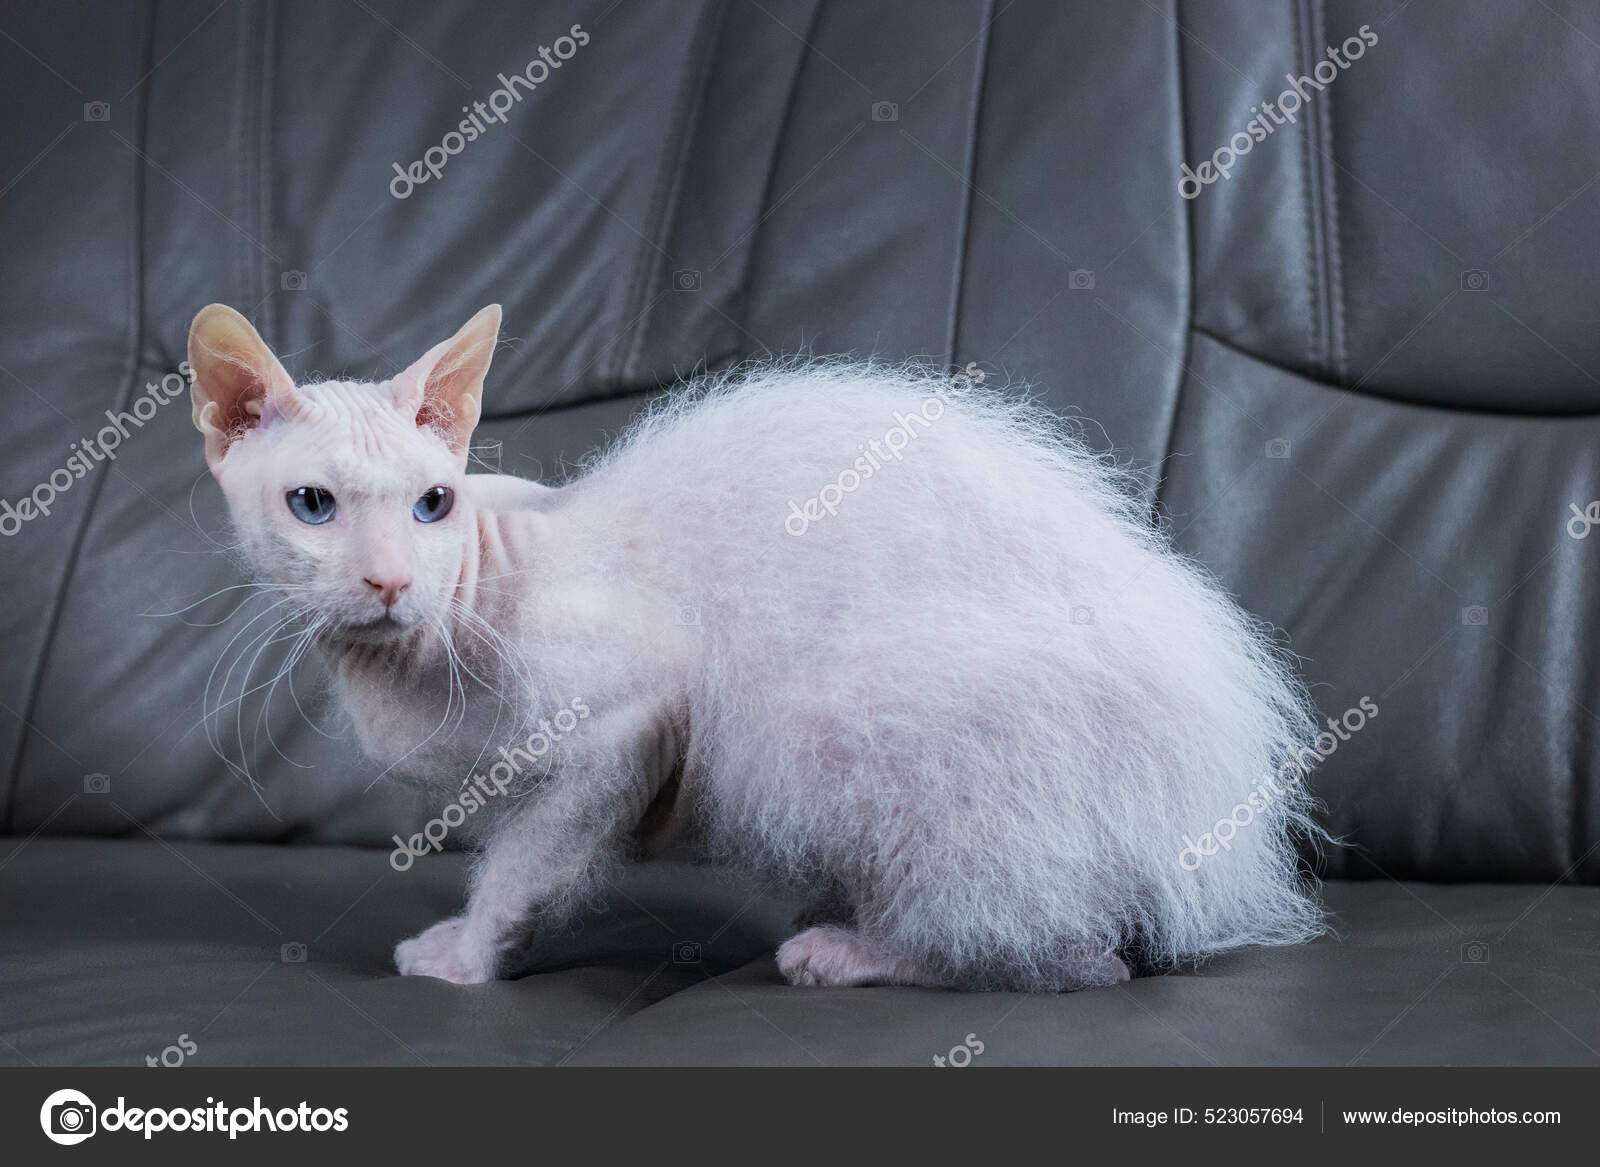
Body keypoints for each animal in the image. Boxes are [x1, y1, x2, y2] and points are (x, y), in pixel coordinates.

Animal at [187, 302, 1318, 992]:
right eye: (313, 505)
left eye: (433, 504)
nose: (389, 581)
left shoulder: (628, 720)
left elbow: (526, 870)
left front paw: (466, 957)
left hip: (829, 717)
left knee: (1080, 956)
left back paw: (852, 949)